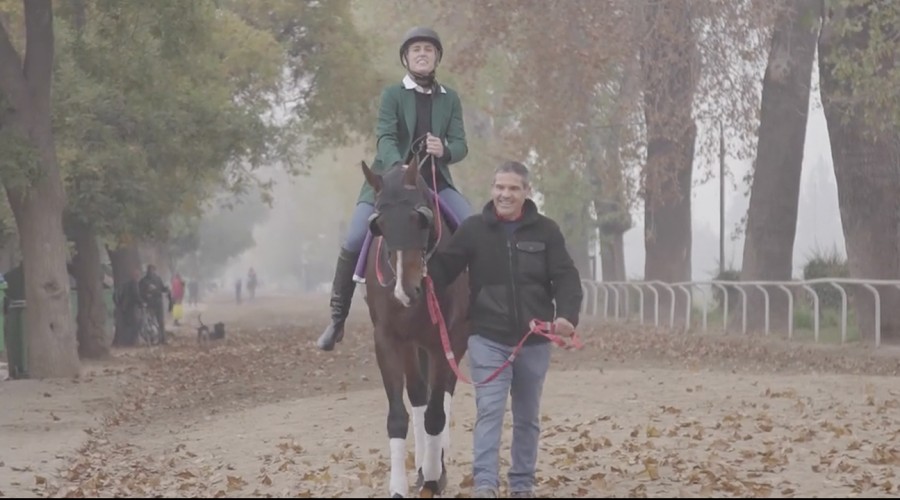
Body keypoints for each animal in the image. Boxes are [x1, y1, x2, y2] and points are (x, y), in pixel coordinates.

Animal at [360, 159, 472, 496]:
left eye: (419, 219)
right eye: (379, 225)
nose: (404, 291)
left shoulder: (445, 339)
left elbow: (437, 413)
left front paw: (434, 475)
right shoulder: (388, 339)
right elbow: (400, 414)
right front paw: (399, 484)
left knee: (443, 395)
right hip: (413, 345)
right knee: (420, 394)